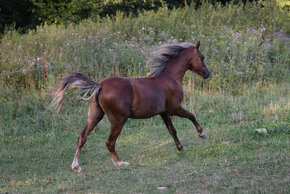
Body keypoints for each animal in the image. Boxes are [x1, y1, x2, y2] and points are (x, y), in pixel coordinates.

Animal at [52, 40, 211, 171]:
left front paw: (181, 147)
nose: (208, 73)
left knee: (82, 137)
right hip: (118, 120)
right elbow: (191, 115)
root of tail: (99, 85)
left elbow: (172, 130)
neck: (169, 78)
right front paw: (202, 133)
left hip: (95, 116)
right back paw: (120, 162)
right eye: (202, 57)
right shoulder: (174, 108)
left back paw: (76, 166)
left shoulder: (164, 112)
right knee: (109, 142)